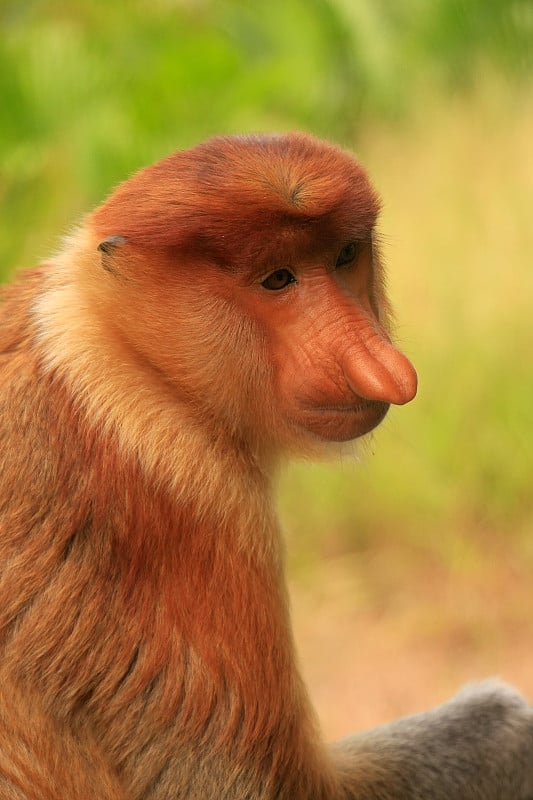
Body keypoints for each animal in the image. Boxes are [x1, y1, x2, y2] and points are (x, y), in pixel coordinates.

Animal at [1, 131, 532, 800]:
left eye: (344, 256)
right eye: (277, 279)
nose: (385, 368)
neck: (124, 349)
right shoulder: (192, 493)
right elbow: (248, 785)